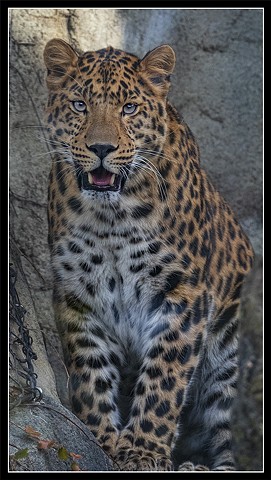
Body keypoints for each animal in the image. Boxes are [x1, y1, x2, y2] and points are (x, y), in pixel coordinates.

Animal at [43, 38, 254, 472]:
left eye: (129, 108)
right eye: (79, 105)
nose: (101, 148)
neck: (110, 216)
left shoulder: (182, 293)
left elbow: (164, 377)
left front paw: (142, 451)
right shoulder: (77, 294)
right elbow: (90, 373)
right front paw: (103, 442)